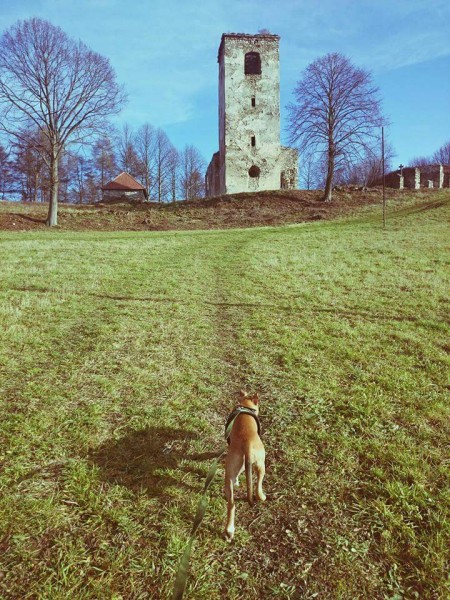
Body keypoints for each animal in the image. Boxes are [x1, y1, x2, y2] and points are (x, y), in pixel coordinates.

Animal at [224, 390, 266, 541]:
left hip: (232, 473)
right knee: (258, 486)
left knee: (231, 503)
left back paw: (229, 530)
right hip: (261, 464)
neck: (245, 407)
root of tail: (246, 443)